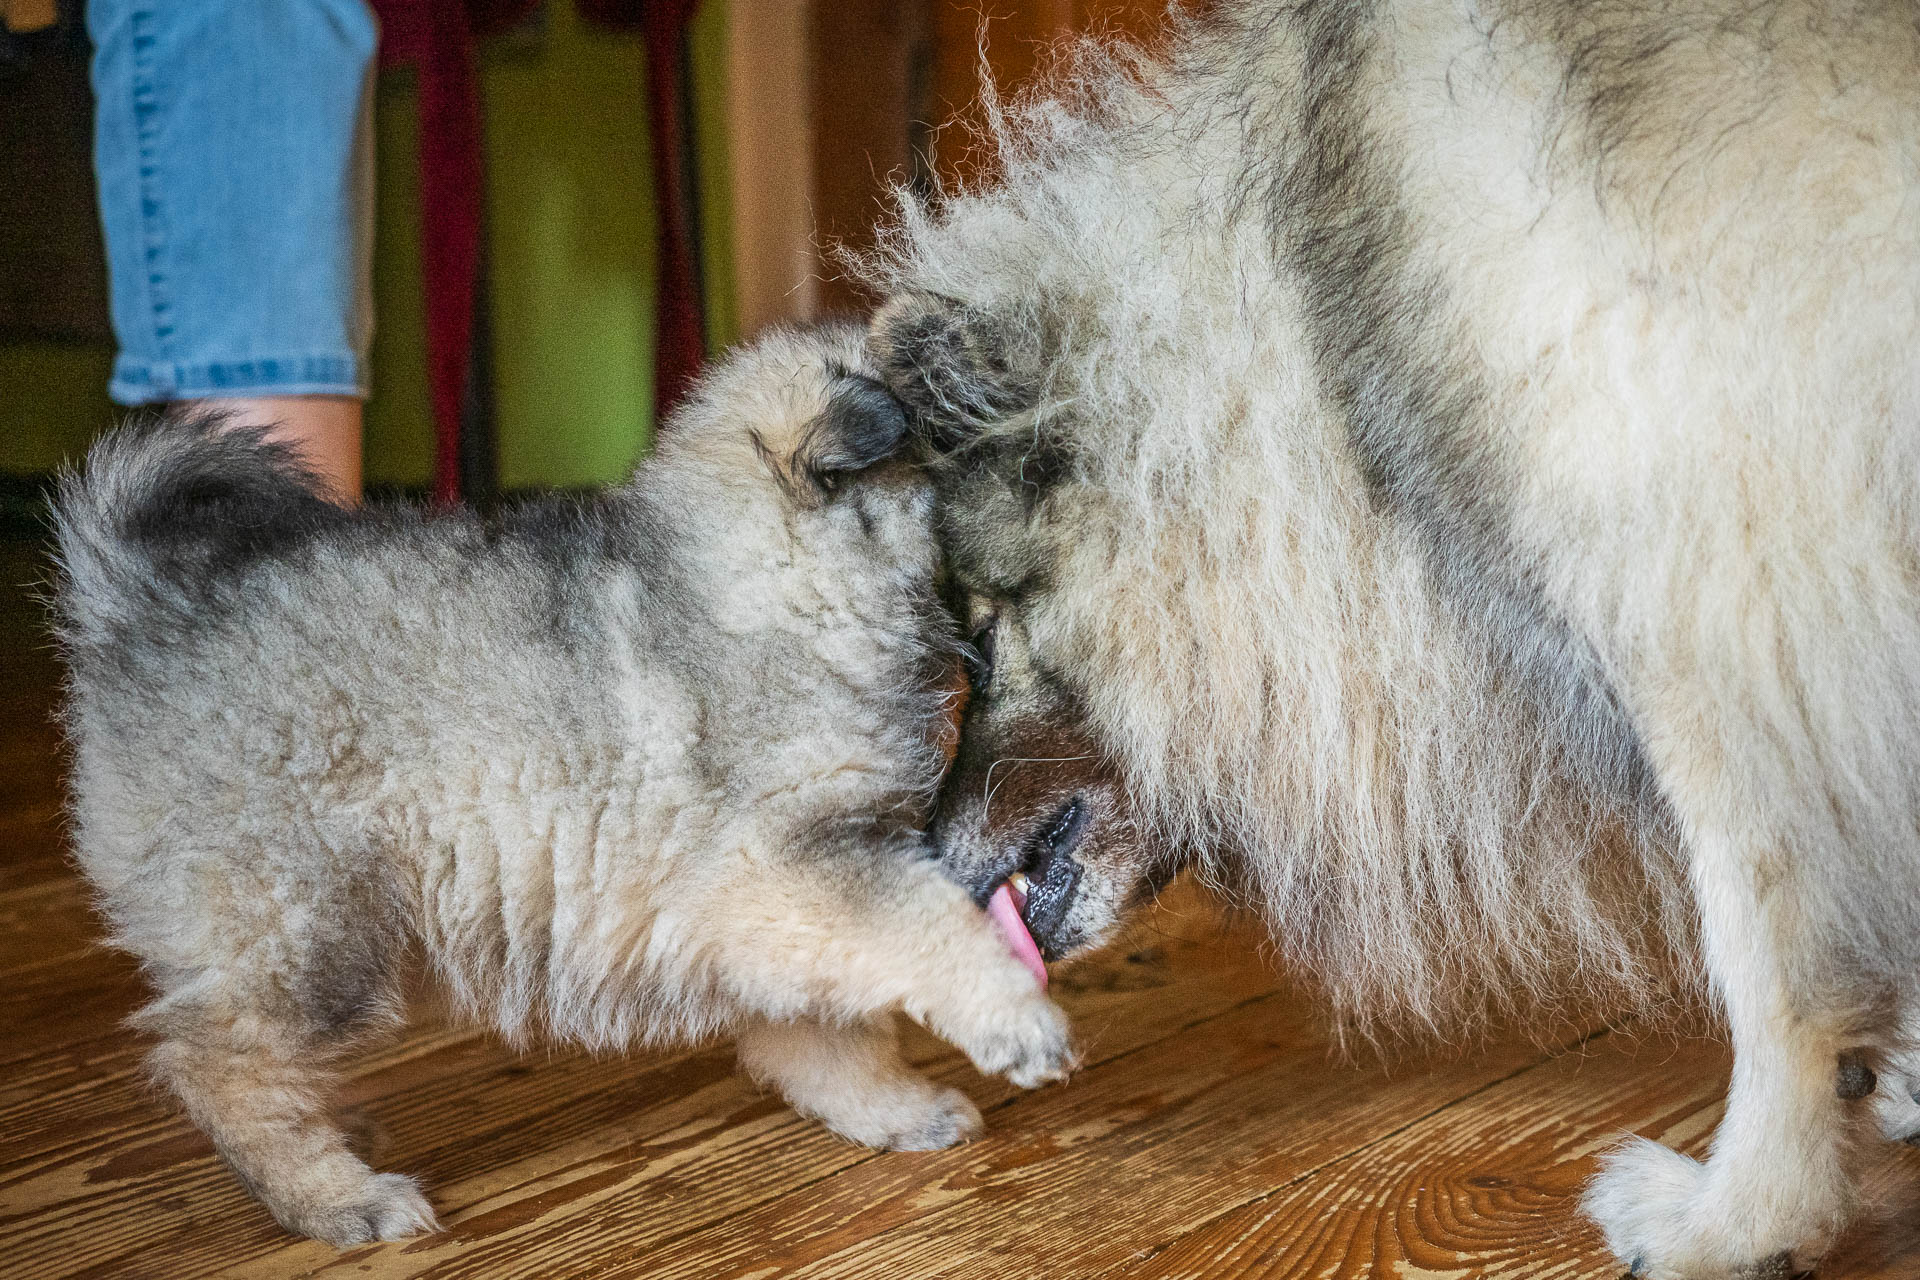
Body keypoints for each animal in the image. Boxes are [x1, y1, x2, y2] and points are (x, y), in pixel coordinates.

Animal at [52, 326, 1075, 1243]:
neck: (782, 586)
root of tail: (142, 606)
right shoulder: (794, 865)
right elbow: (928, 926)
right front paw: (1013, 1017)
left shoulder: (788, 897)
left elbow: (837, 1027)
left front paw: (891, 1108)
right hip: (307, 918)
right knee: (218, 1061)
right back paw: (336, 1199)